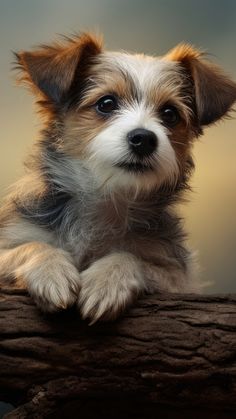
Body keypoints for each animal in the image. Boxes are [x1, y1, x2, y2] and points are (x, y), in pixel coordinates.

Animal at [0, 32, 236, 324]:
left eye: (170, 114)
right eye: (106, 103)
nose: (144, 139)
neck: (108, 198)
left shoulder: (177, 277)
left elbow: (132, 258)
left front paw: (107, 281)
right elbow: (31, 247)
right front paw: (51, 271)